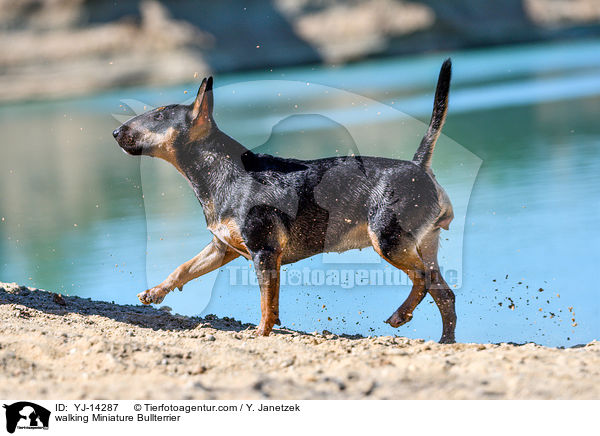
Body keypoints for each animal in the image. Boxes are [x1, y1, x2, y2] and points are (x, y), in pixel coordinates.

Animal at [115, 58, 458, 344]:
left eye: (159, 115)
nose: (116, 131)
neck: (224, 172)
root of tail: (419, 167)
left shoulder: (263, 251)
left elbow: (266, 300)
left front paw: (261, 332)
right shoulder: (223, 248)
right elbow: (184, 268)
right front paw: (155, 293)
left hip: (388, 240)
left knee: (424, 280)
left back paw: (401, 315)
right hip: (420, 244)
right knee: (445, 294)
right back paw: (445, 342)